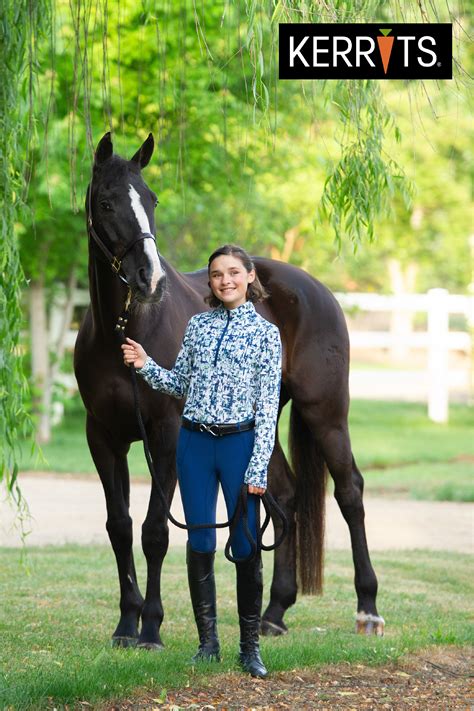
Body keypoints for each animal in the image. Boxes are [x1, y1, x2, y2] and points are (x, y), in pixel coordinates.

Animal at [75, 131, 386, 648]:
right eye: (106, 202)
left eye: (152, 200)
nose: (150, 279)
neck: (124, 331)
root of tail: (317, 289)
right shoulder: (102, 437)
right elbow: (119, 527)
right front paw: (125, 624)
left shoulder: (165, 435)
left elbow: (155, 531)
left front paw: (151, 628)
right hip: (263, 423)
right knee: (284, 494)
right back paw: (274, 611)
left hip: (325, 412)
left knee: (350, 492)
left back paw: (368, 610)